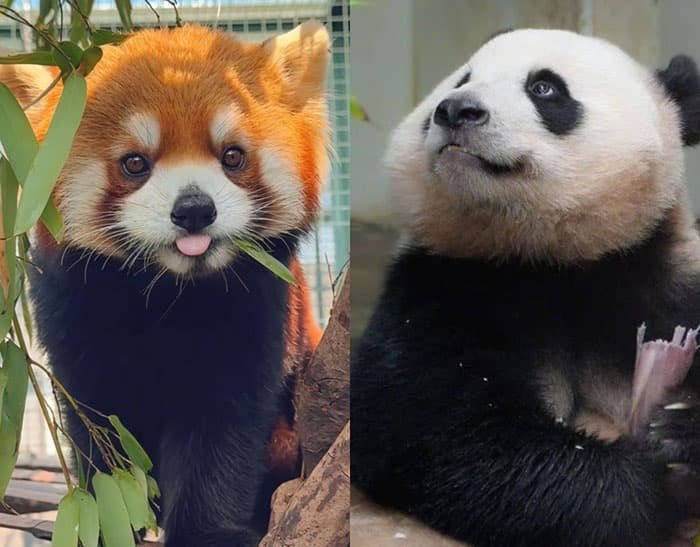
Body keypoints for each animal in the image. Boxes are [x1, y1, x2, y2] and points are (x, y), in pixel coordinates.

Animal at [351, 29, 700, 547]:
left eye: (545, 88)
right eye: (463, 79)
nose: (456, 110)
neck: (552, 259)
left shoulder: (660, 278)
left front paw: (680, 435)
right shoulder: (441, 285)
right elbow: (446, 428)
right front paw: (653, 477)